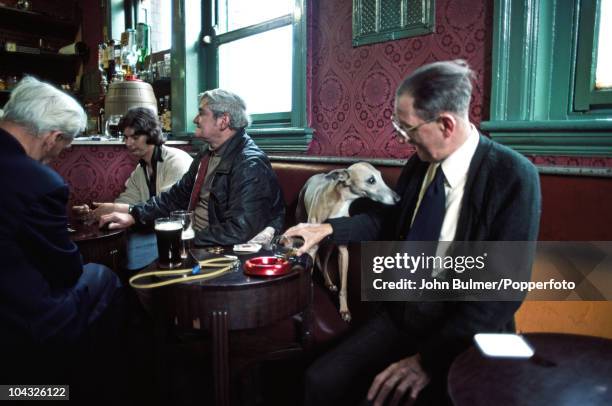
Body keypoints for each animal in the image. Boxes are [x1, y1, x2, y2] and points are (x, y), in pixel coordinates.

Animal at [298, 161, 402, 320]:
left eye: (381, 176)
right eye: (371, 180)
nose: (398, 199)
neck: (340, 202)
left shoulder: (343, 252)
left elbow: (344, 286)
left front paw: (344, 309)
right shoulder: (312, 247)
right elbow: (309, 274)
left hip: (330, 246)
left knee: (324, 263)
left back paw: (329, 282)